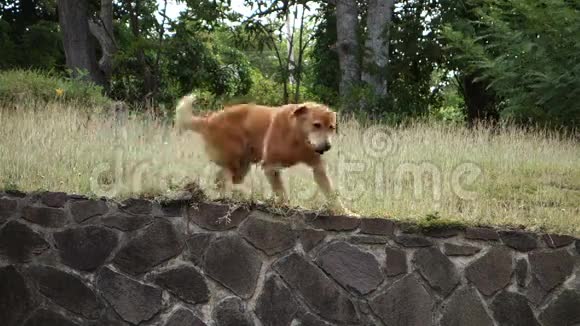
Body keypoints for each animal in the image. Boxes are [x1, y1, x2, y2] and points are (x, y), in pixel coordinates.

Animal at [174, 95, 352, 214]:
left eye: (331, 127)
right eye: (317, 125)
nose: (327, 146)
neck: (297, 137)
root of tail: (208, 119)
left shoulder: (318, 168)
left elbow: (331, 193)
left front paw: (345, 212)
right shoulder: (270, 167)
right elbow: (281, 191)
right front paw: (286, 206)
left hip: (242, 167)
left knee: (220, 179)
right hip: (235, 160)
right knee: (223, 178)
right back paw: (232, 196)